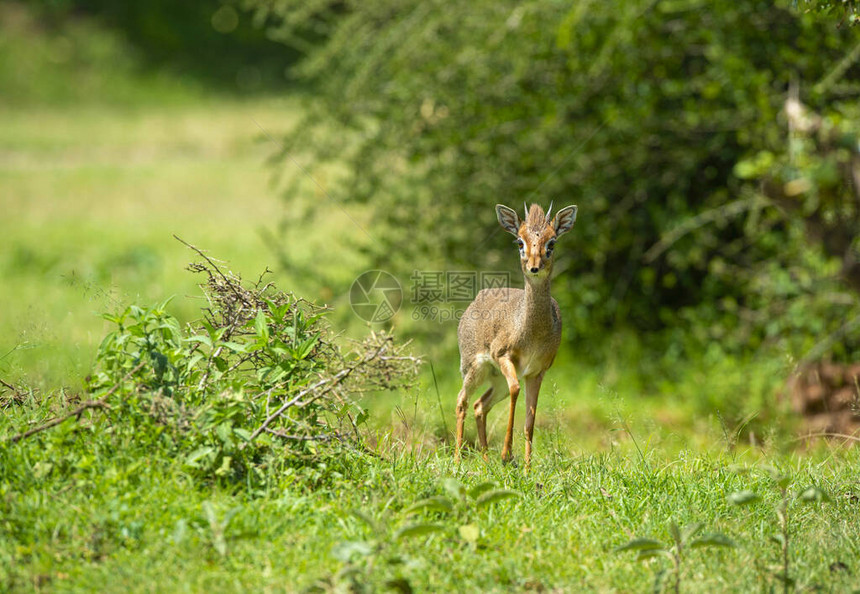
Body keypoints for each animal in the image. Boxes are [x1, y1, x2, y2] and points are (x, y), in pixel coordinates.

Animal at [456, 201, 576, 464]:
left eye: (552, 242)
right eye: (520, 242)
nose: (534, 267)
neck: (532, 334)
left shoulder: (537, 371)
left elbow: (530, 422)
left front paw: (526, 467)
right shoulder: (504, 357)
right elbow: (516, 390)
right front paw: (507, 454)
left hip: (495, 378)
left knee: (480, 405)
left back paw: (485, 461)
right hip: (474, 368)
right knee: (462, 400)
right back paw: (457, 460)